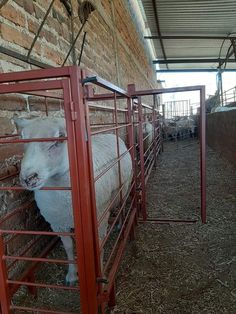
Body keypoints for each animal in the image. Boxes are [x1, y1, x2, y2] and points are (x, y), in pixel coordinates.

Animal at [14, 116, 133, 286]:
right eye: (22, 138)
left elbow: (99, 246)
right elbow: (69, 247)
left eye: (60, 137)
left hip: (125, 186)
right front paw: (71, 275)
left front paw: (101, 274)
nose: (28, 178)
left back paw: (120, 224)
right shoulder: (58, 223)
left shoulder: (98, 219)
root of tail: (111, 134)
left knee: (122, 205)